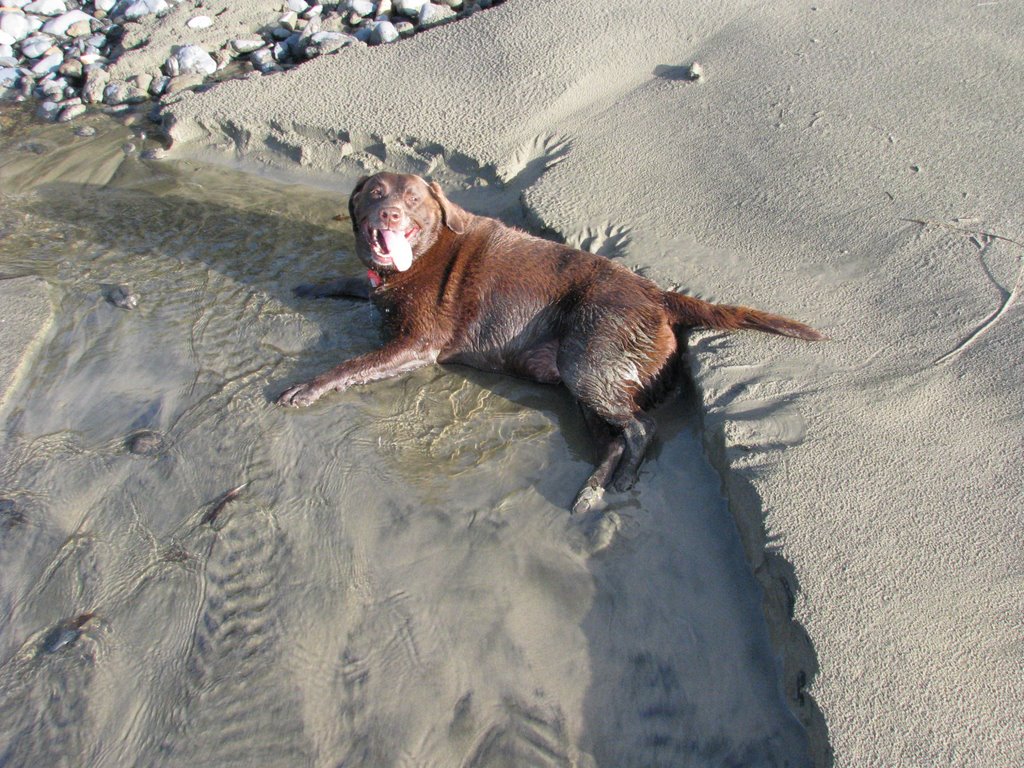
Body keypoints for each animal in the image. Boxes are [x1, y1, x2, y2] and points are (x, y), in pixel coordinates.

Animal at [276, 171, 819, 514]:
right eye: (373, 193)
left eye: (412, 200)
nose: (387, 214)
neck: (414, 260)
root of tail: (660, 295)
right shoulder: (376, 291)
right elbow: (350, 283)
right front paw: (311, 286)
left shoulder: (417, 343)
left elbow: (351, 364)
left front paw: (305, 387)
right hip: (586, 382)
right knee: (615, 437)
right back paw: (592, 489)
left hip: (589, 360)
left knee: (641, 428)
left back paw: (620, 481)